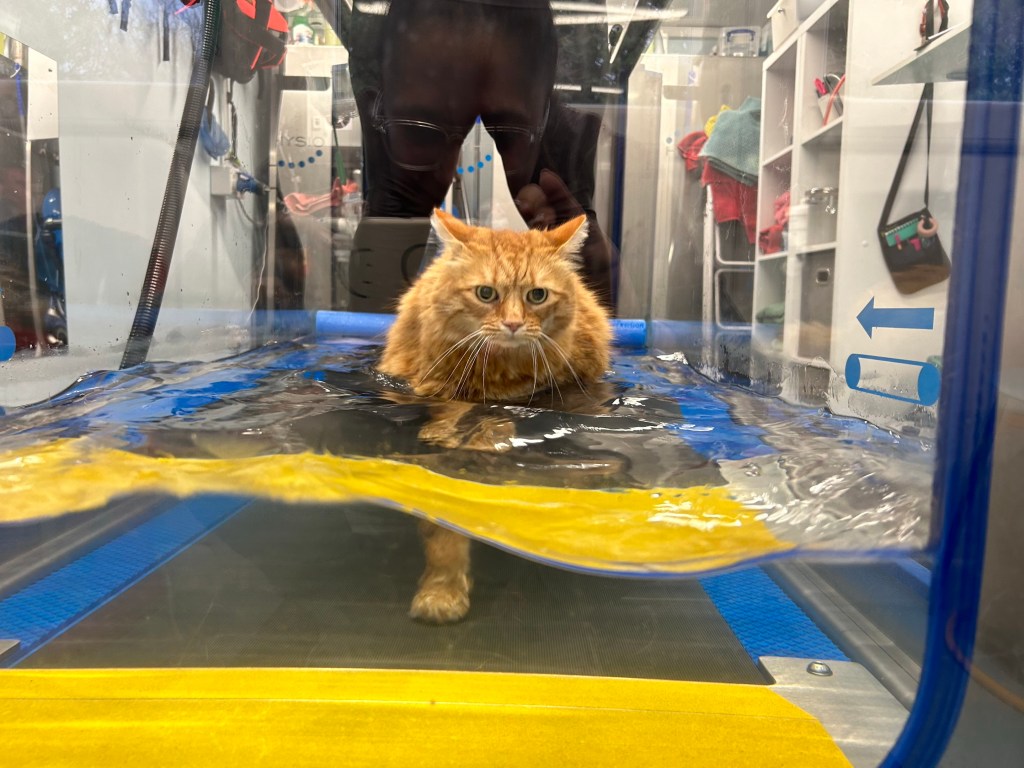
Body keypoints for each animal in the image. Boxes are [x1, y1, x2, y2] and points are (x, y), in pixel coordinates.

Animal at [382, 210, 606, 626]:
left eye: (537, 295)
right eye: (486, 294)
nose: (513, 324)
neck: (500, 376)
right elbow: (444, 528)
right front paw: (442, 591)